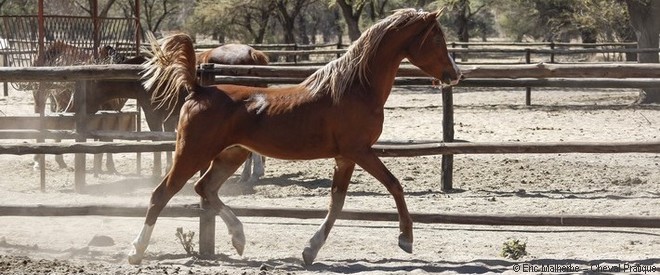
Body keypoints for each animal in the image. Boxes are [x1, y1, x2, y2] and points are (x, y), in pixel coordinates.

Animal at [127, 9, 458, 268]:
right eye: (436, 38)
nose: (455, 74)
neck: (355, 88)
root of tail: (198, 89)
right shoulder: (360, 151)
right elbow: (394, 185)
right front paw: (406, 239)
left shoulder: (345, 157)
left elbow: (336, 203)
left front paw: (310, 251)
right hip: (192, 152)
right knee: (161, 194)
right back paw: (136, 252)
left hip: (231, 154)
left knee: (204, 188)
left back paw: (239, 238)